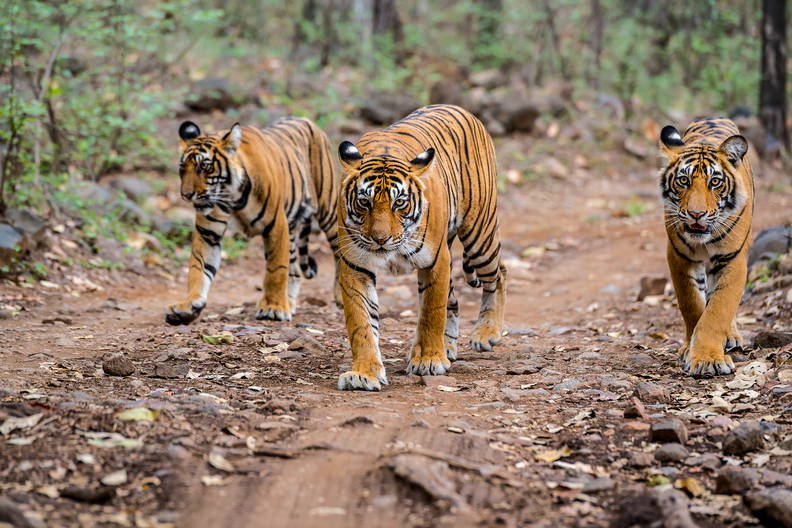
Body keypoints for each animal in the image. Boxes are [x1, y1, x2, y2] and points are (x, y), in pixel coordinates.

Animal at [166, 118, 338, 326]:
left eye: (204, 167)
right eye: (182, 169)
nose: (186, 195)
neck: (232, 197)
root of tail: (306, 120)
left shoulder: (276, 225)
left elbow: (276, 270)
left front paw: (273, 308)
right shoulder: (208, 233)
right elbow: (198, 268)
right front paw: (188, 306)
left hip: (328, 210)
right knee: (295, 268)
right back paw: (289, 302)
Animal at [334, 105, 508, 390]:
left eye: (399, 203)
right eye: (364, 202)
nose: (380, 239)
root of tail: (460, 109)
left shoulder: (435, 261)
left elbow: (431, 312)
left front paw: (428, 360)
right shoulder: (355, 266)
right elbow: (361, 323)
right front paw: (364, 373)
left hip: (479, 235)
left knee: (499, 274)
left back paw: (486, 333)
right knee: (454, 300)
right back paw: (448, 347)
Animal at [660, 118, 752, 378]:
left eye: (715, 182)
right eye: (684, 180)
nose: (696, 214)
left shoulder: (732, 260)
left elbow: (718, 310)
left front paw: (708, 359)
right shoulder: (679, 257)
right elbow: (691, 304)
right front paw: (691, 350)